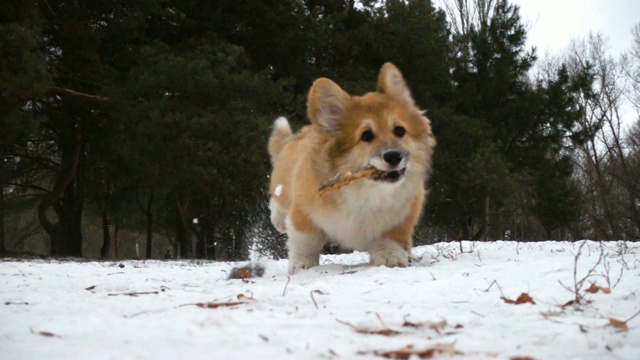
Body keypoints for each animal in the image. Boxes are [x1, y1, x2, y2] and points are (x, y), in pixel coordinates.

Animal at [264, 63, 436, 274]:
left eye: (400, 131)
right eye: (366, 135)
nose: (394, 156)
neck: (366, 192)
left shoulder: (401, 217)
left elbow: (390, 238)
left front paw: (391, 257)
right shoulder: (304, 212)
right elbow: (306, 241)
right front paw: (303, 265)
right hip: (284, 181)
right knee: (279, 200)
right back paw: (279, 220)